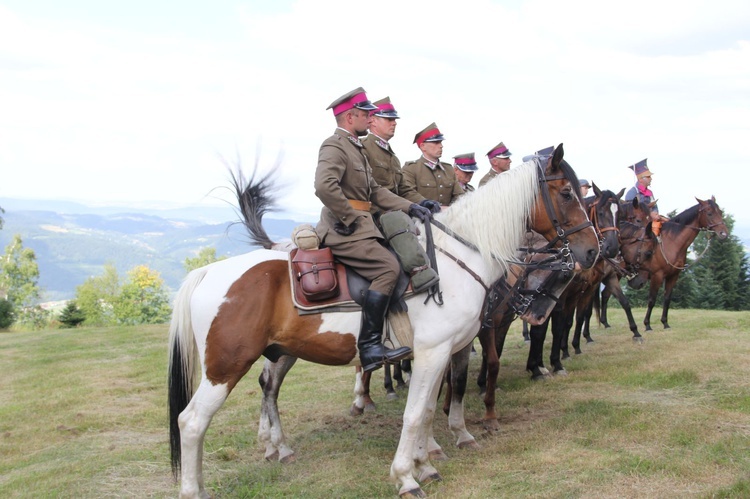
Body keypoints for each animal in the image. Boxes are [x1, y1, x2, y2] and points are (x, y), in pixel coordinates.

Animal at [167, 146, 604, 499]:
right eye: (567, 193)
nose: (591, 251)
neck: (455, 258)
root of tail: (207, 273)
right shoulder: (432, 353)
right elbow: (415, 414)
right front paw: (406, 477)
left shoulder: (443, 353)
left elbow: (428, 411)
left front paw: (426, 465)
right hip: (225, 366)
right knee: (191, 422)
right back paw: (195, 489)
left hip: (274, 354)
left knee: (260, 392)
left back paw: (274, 449)